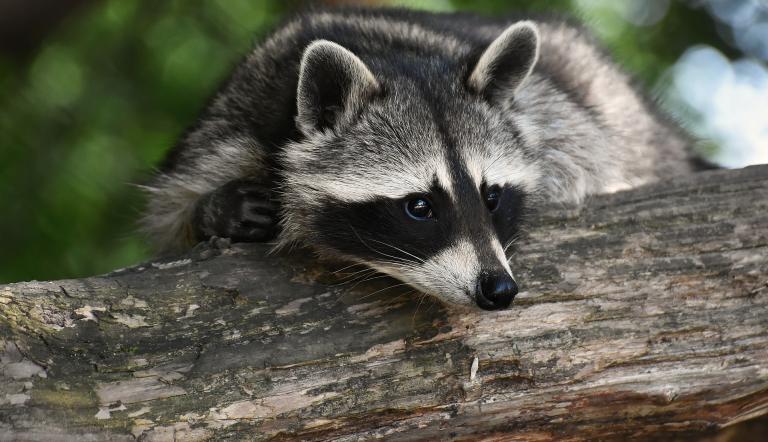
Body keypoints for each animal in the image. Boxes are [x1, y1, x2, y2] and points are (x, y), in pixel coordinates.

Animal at [141, 6, 700, 310]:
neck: (390, 56)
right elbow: (170, 211)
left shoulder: (557, 116)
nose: (499, 289)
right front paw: (216, 210)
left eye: (492, 197)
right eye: (419, 206)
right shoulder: (230, 122)